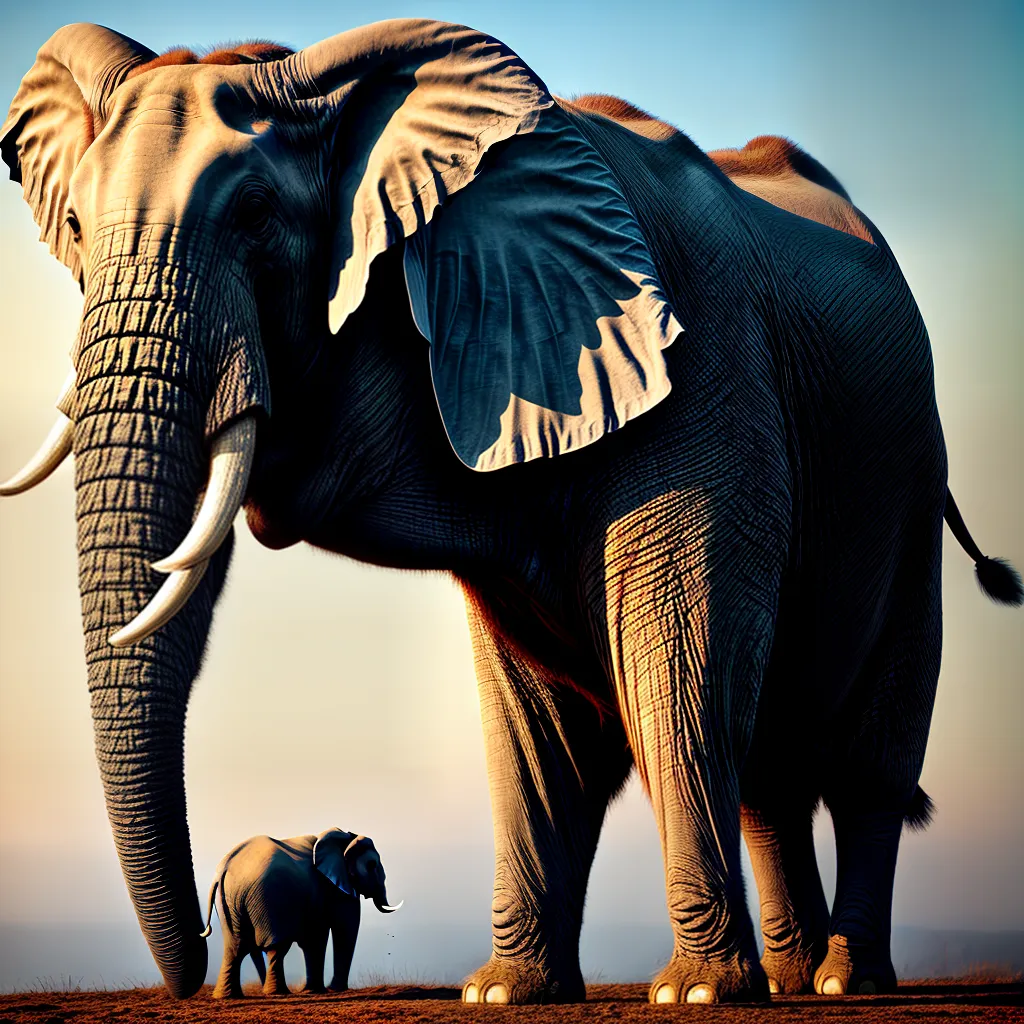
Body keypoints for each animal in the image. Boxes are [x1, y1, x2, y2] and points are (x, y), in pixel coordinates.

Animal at [200, 828, 401, 998]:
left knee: (235, 947)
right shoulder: (329, 886)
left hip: (229, 901)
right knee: (276, 946)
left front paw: (316, 990)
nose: (334, 988)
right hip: (270, 899)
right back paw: (277, 993)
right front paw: (323, 990)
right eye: (372, 864)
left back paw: (228, 996)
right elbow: (325, 934)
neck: (343, 838)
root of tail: (224, 869)